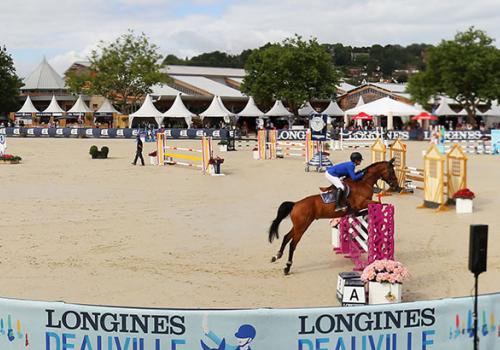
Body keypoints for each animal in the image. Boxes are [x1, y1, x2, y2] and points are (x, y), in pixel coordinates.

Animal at [268, 159, 400, 276]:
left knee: (286, 237)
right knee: (292, 244)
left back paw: (276, 256)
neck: (364, 183)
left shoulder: (358, 207)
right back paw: (287, 267)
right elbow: (377, 204)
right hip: (302, 226)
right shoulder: (362, 203)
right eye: (391, 171)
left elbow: (367, 209)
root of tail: (295, 204)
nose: (397, 187)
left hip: (298, 226)